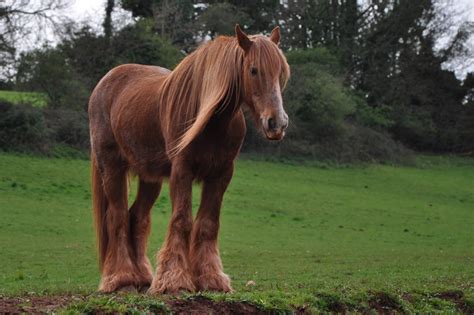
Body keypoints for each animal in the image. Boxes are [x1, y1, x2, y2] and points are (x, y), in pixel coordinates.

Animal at [87, 25, 290, 296]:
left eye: (281, 72)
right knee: (117, 217)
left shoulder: (221, 174)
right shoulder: (182, 170)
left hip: (150, 178)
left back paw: (143, 278)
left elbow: (207, 223)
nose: (277, 123)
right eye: (254, 70)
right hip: (111, 168)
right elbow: (182, 220)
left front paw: (211, 279)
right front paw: (175, 280)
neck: (213, 121)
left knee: (137, 217)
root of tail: (105, 82)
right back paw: (121, 279)